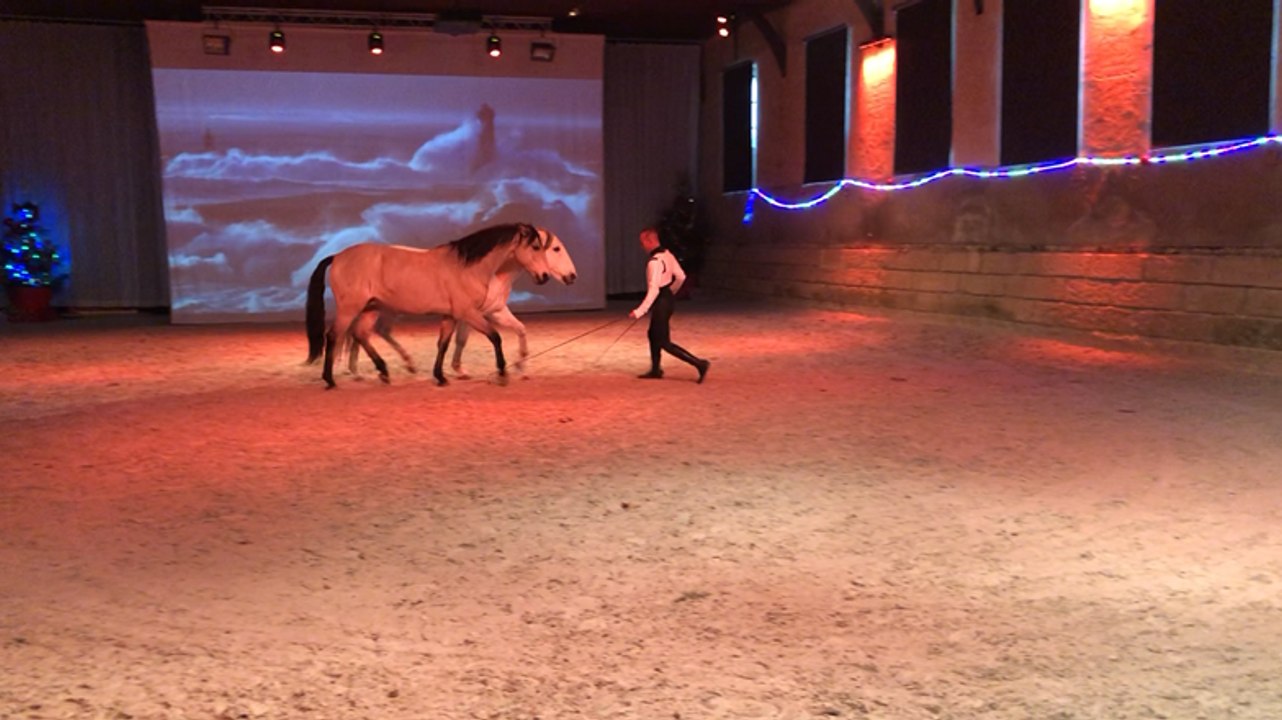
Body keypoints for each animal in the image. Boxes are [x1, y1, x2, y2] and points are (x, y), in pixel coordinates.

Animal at [305, 223, 561, 388]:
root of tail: (337, 256)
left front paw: (440, 377)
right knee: (334, 336)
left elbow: (443, 344)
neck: (466, 267)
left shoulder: (451, 316)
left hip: (371, 308)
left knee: (360, 334)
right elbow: (495, 337)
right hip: (350, 309)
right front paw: (502, 373)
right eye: (535, 247)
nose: (544, 276)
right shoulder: (468, 313)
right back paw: (330, 379)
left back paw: (384, 372)